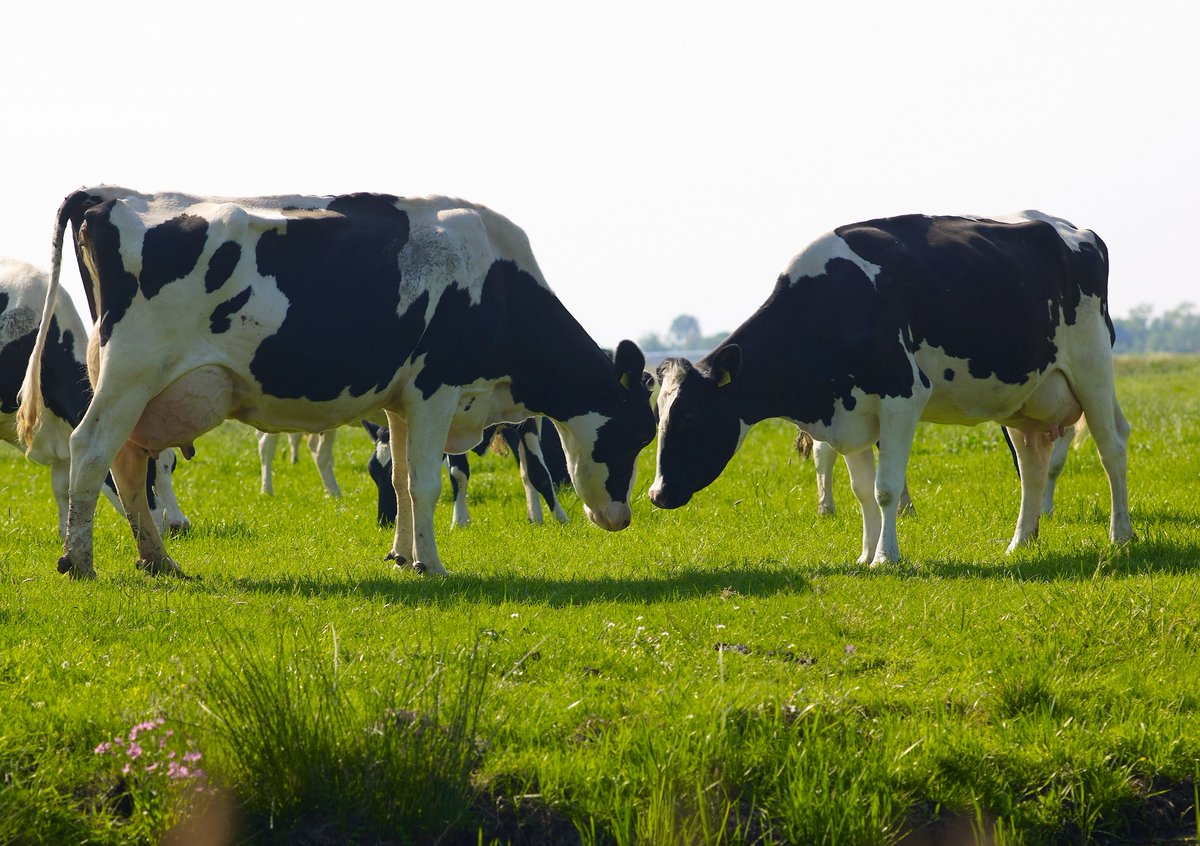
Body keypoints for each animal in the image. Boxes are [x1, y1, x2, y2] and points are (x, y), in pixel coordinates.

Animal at [363, 416, 569, 528]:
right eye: (372, 471)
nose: (384, 520)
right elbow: (458, 474)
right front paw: (460, 521)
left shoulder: (526, 422)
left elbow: (538, 472)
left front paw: (560, 518)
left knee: (526, 468)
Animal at [649, 211, 1132, 565]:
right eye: (658, 417)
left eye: (689, 416)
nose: (656, 493)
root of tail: (1074, 230)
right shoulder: (848, 413)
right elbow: (863, 491)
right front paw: (865, 556)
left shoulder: (903, 396)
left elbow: (886, 487)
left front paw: (887, 557)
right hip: (1024, 398)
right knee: (1032, 466)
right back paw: (1021, 543)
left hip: (1092, 367)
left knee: (1111, 449)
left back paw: (1121, 534)